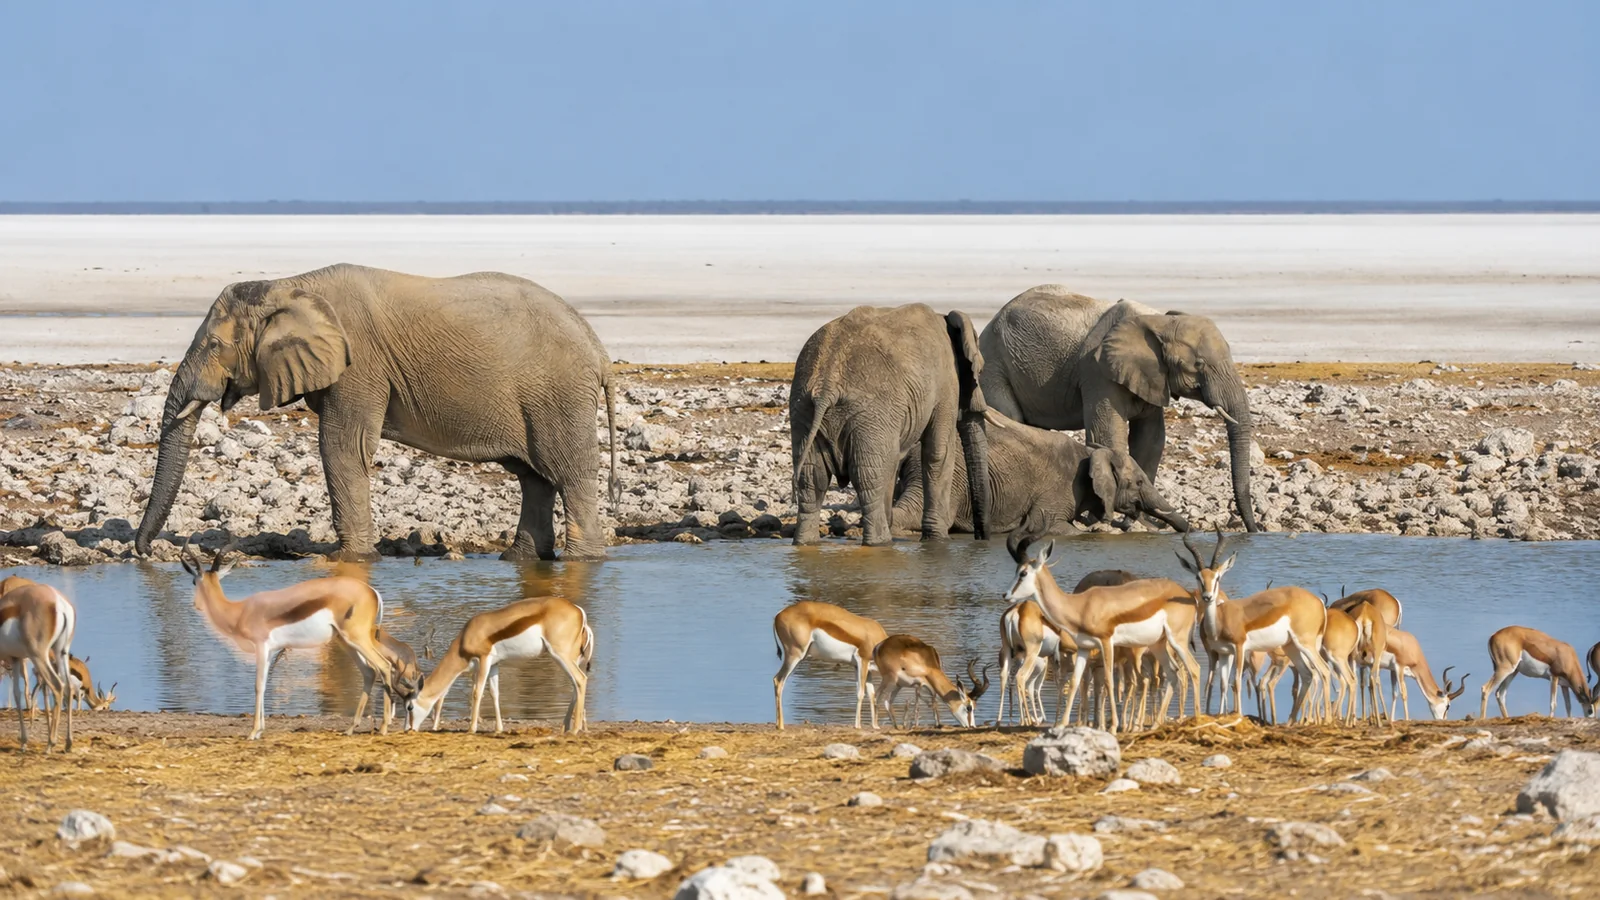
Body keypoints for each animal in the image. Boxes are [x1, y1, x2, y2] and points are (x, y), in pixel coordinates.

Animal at [135, 264, 618, 562]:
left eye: (215, 345)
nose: (143, 552)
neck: (291, 283)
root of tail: (600, 350)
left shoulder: (359, 364)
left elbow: (342, 448)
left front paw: (349, 559)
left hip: (557, 394)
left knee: (568, 473)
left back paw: (582, 560)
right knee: (534, 477)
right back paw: (519, 559)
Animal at [790, 304, 990, 545]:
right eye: (979, 370)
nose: (981, 538)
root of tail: (826, 385)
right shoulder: (945, 382)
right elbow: (938, 452)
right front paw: (937, 541)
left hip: (803, 409)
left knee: (812, 479)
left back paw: (805, 544)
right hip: (870, 415)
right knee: (868, 478)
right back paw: (881, 543)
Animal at [891, 410, 1191, 535]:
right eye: (1138, 482)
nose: (1189, 530)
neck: (1091, 452)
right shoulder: (1059, 490)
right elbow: (1052, 526)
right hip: (953, 478)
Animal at [978, 285, 1259, 531]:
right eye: (1198, 364)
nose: (1254, 530)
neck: (1159, 321)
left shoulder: (1152, 377)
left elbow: (1150, 440)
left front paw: (1136, 524)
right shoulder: (1097, 372)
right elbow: (1109, 434)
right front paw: (1102, 520)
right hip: (993, 366)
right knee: (1012, 418)